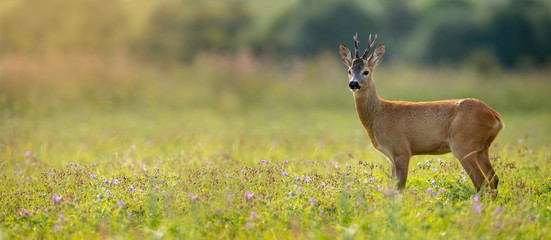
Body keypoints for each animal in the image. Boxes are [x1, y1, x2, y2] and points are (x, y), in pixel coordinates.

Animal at [338, 33, 502, 192]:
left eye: (366, 71)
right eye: (349, 70)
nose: (353, 83)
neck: (379, 116)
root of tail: (496, 117)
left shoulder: (402, 150)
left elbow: (399, 188)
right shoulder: (391, 156)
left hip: (463, 143)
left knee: (481, 182)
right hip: (482, 147)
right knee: (493, 179)